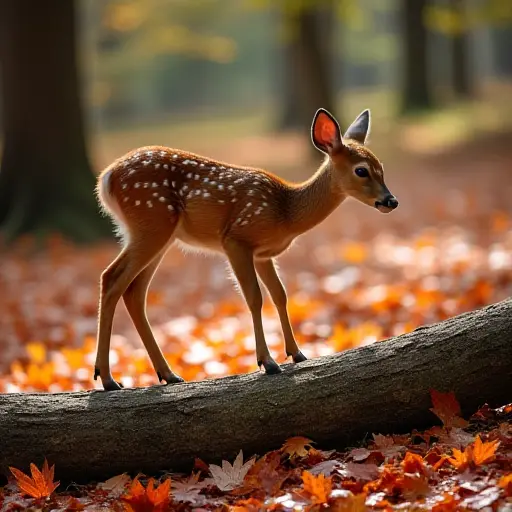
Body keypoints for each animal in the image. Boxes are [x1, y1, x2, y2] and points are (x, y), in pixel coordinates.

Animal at [95, 106, 400, 390]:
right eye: (361, 170)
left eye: (382, 168)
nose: (391, 201)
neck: (286, 212)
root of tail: (106, 178)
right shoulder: (236, 239)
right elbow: (254, 297)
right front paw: (268, 362)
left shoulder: (264, 255)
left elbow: (280, 294)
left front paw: (297, 353)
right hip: (151, 221)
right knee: (111, 278)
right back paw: (108, 379)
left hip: (159, 235)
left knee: (134, 292)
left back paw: (167, 374)